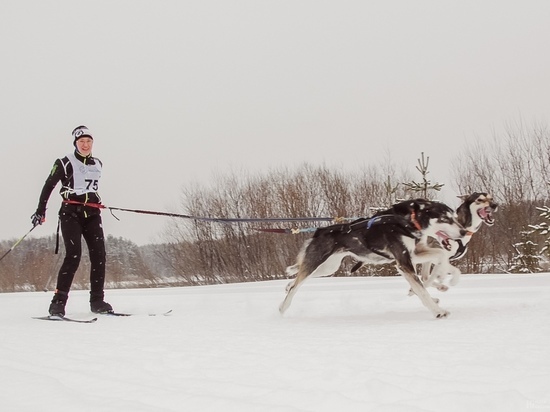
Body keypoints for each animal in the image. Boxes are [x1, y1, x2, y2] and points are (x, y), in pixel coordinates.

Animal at [282, 200, 468, 318]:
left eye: (454, 217)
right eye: (445, 219)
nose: (464, 232)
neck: (407, 221)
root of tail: (319, 231)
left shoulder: (414, 253)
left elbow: (441, 255)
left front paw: (447, 276)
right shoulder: (404, 262)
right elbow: (422, 290)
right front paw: (438, 311)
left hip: (328, 268)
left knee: (297, 279)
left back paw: (287, 285)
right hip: (316, 262)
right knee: (297, 285)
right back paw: (283, 308)